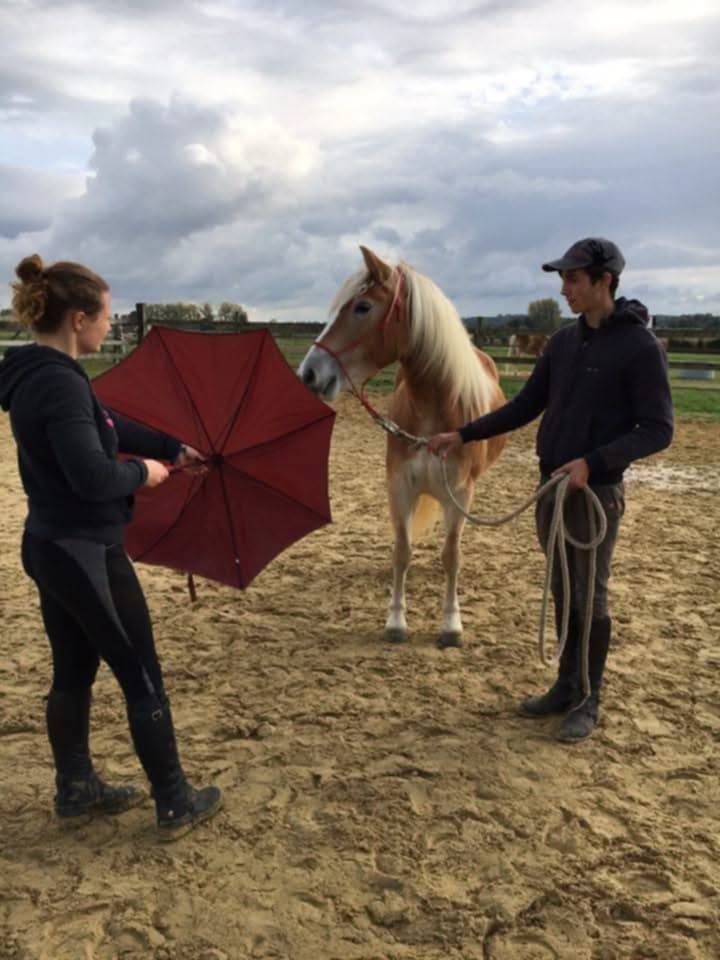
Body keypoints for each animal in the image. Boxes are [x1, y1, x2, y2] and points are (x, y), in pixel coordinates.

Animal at [298, 246, 506, 647]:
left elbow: (451, 555)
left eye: (362, 307)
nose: (309, 374)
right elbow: (402, 551)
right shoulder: (400, 487)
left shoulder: (460, 492)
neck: (435, 411)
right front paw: (395, 620)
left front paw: (451, 624)